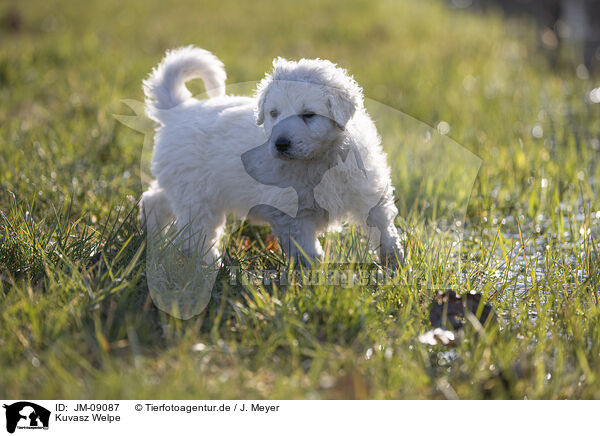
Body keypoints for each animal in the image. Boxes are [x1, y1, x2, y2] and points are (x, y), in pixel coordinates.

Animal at [141, 46, 404, 268]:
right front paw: (311, 276)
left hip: (182, 183)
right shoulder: (292, 215)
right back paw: (209, 265)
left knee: (155, 199)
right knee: (197, 232)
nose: (280, 144)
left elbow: (383, 229)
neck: (320, 159)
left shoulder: (368, 193)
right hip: (197, 194)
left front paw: (397, 265)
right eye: (273, 113)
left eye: (308, 114)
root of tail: (178, 111)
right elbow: (306, 250)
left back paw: (151, 233)